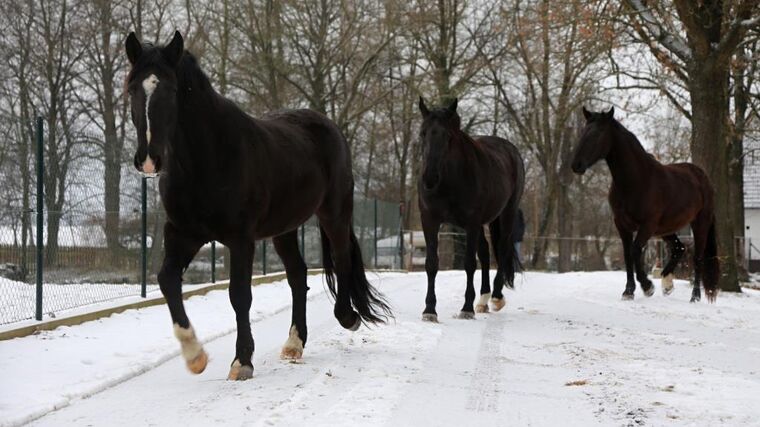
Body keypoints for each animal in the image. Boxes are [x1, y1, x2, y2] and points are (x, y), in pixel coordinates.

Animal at [124, 31, 392, 380]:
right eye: (132, 88)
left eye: (169, 89)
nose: (148, 160)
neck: (207, 160)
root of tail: (326, 125)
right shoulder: (184, 233)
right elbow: (167, 280)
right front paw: (195, 357)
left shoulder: (241, 239)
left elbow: (239, 295)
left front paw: (242, 362)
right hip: (285, 229)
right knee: (298, 275)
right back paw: (294, 344)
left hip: (334, 213)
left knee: (342, 258)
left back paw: (348, 316)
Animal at [418, 98, 524, 322]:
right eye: (423, 133)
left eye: (448, 136)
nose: (429, 178)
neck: (450, 180)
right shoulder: (430, 220)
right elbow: (431, 264)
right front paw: (429, 310)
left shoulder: (471, 223)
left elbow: (468, 264)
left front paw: (466, 308)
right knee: (484, 252)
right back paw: (483, 299)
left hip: (506, 214)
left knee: (501, 248)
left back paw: (496, 297)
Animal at [568, 107, 720, 302]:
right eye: (583, 132)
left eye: (598, 133)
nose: (576, 165)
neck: (637, 180)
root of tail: (703, 177)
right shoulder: (622, 225)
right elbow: (627, 255)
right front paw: (628, 291)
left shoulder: (647, 225)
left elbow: (635, 251)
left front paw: (647, 286)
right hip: (666, 229)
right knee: (679, 248)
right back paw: (667, 284)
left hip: (699, 223)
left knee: (697, 258)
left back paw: (695, 296)